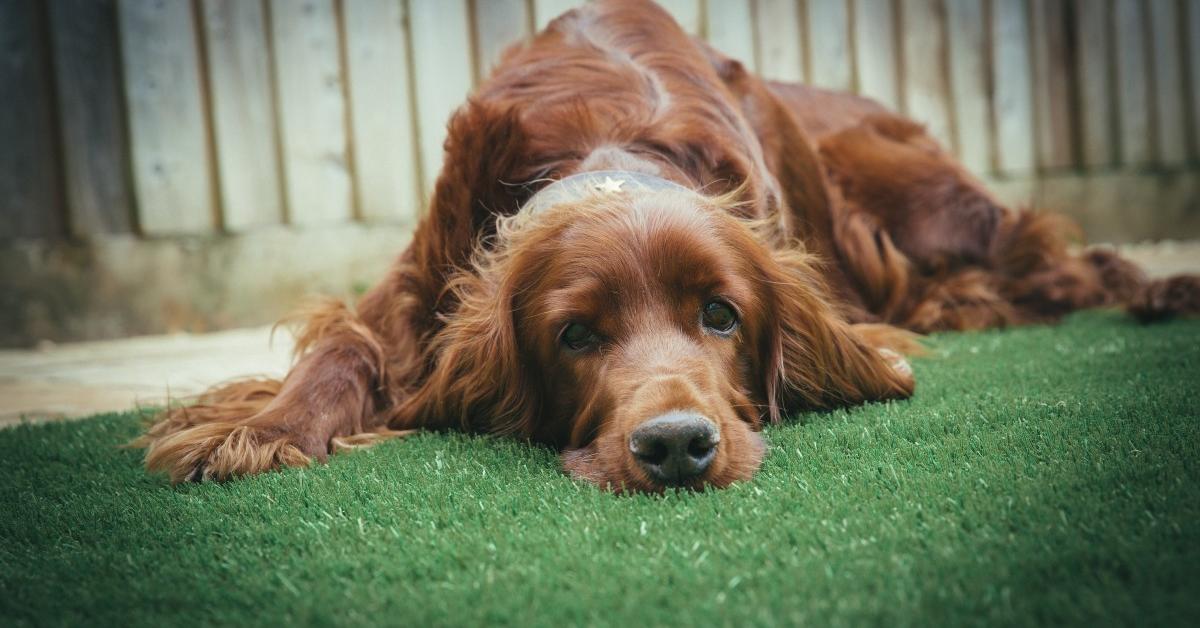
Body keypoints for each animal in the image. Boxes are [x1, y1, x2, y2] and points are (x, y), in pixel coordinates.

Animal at [138, 0, 1190, 492]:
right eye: (575, 336)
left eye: (721, 316)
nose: (678, 444)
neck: (609, 141)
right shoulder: (411, 289)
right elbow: (345, 350)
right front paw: (264, 427)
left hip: (937, 210)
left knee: (1069, 257)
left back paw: (1164, 292)